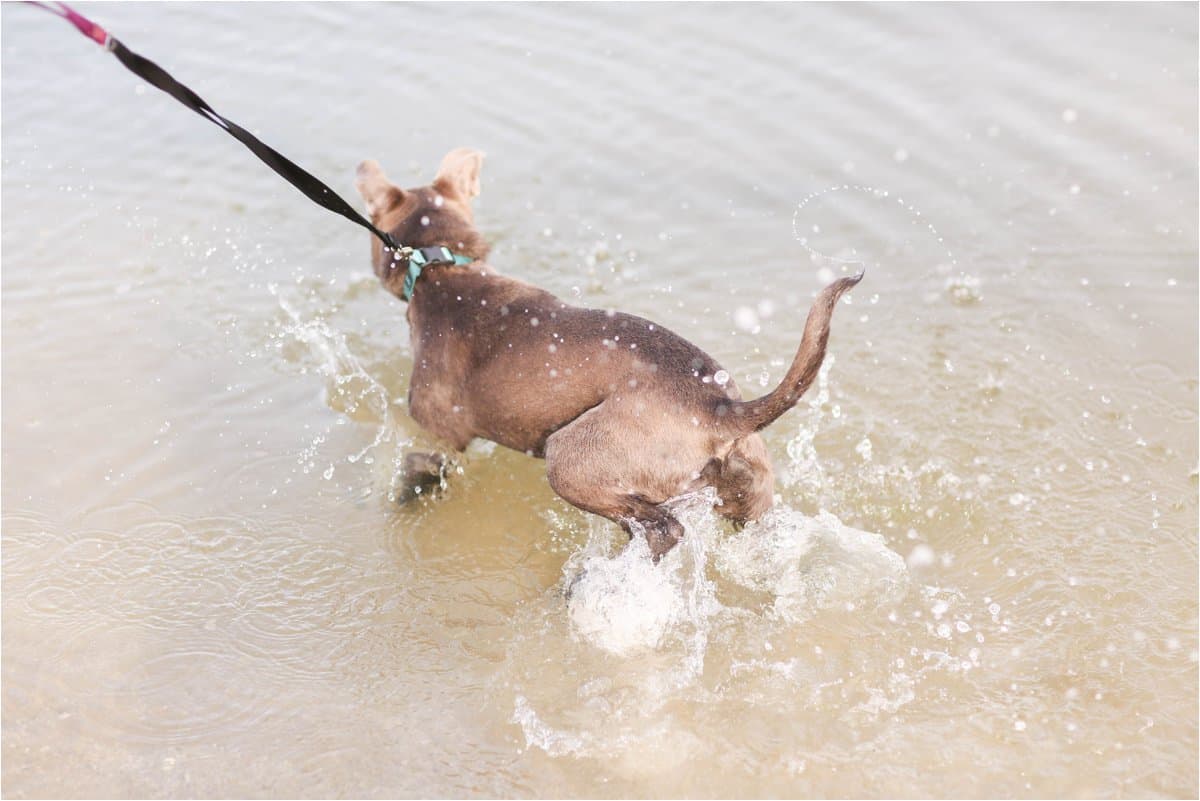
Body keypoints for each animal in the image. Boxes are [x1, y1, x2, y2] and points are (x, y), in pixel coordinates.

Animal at [350, 149, 859, 561]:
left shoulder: (436, 434)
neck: (438, 266)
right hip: (751, 492)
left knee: (660, 527)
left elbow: (416, 471)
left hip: (570, 457)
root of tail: (722, 409)